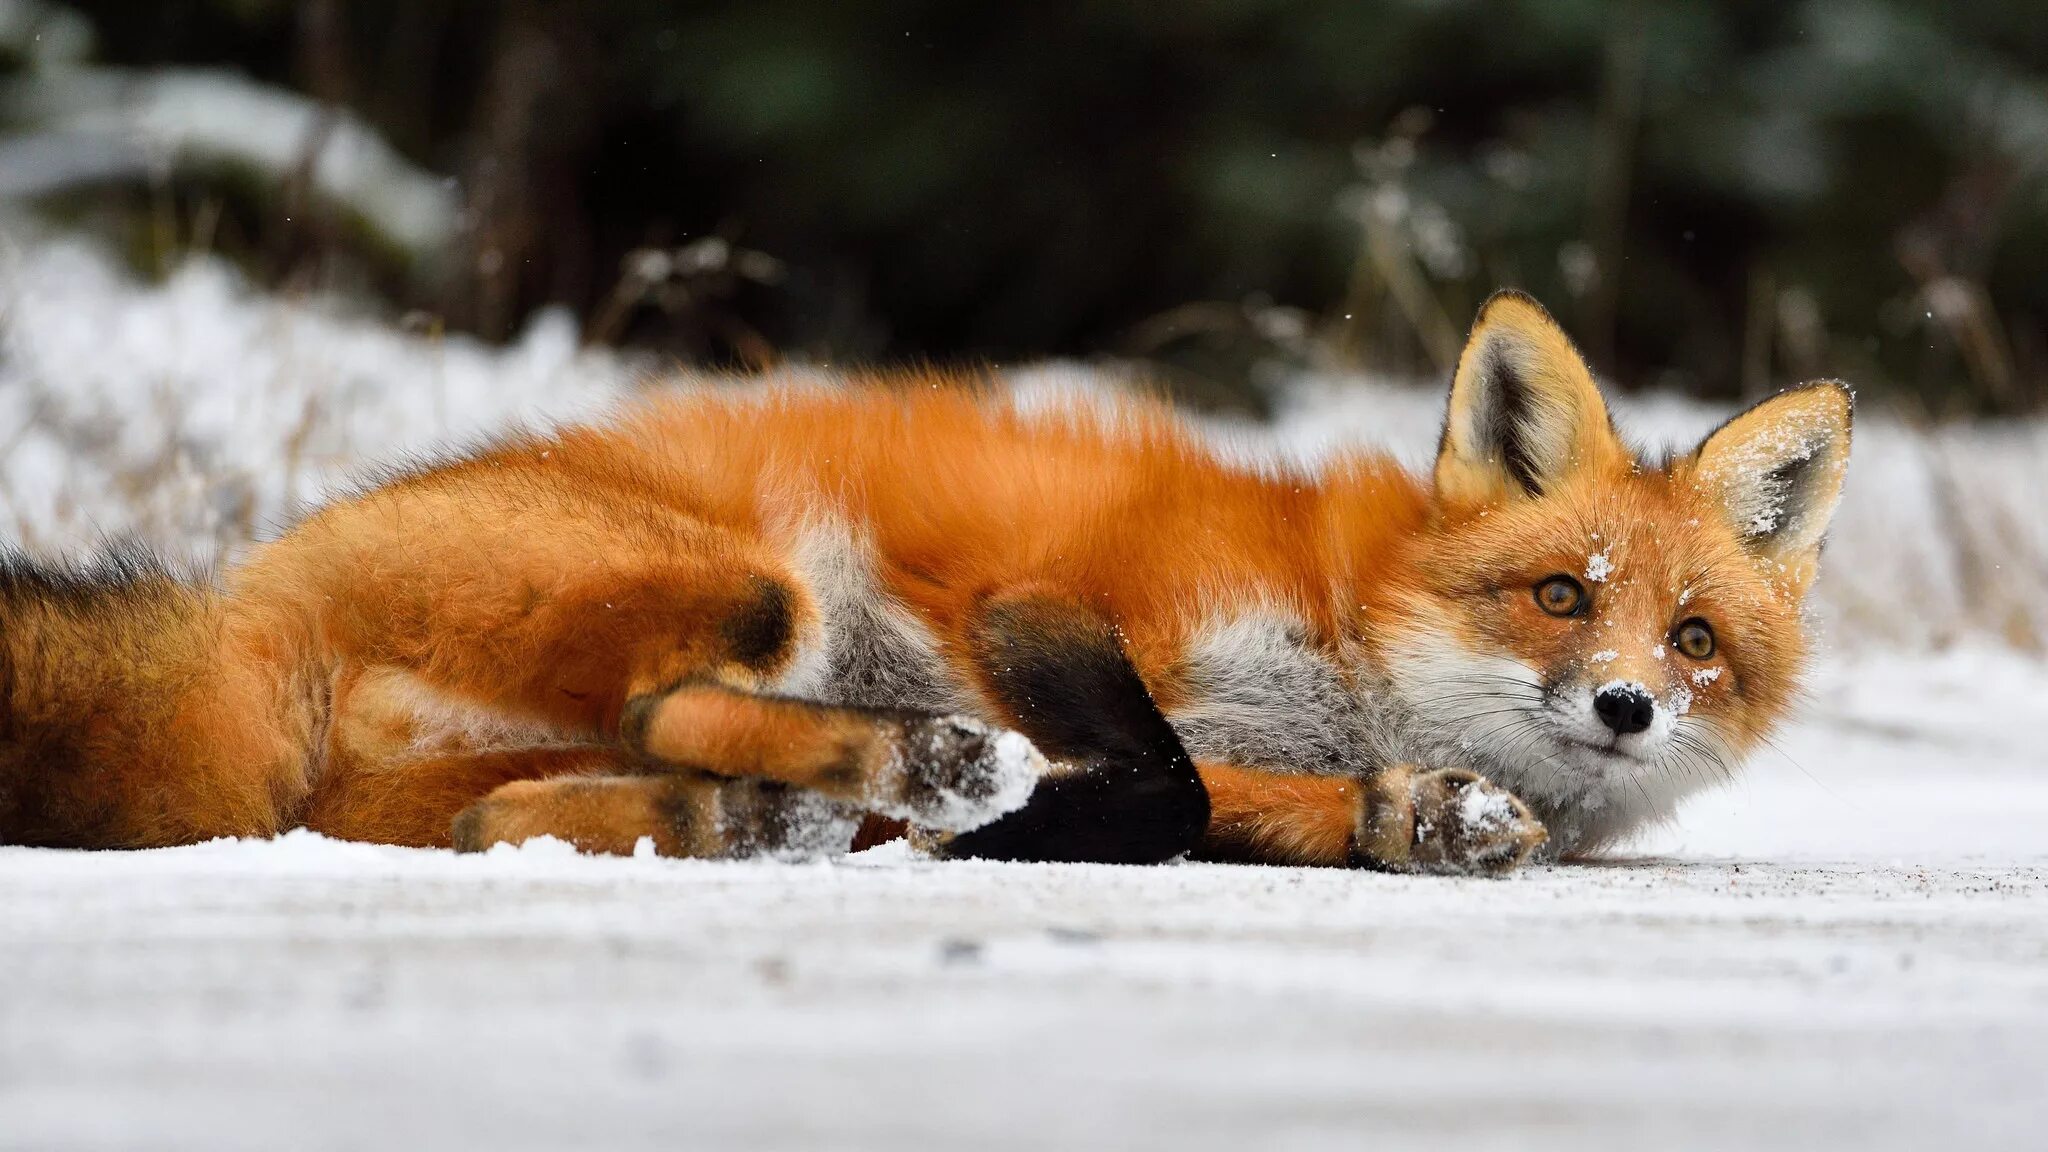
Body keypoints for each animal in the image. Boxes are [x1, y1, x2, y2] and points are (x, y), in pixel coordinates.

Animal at [0, 293, 1859, 869]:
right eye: (1560, 597)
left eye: (1692, 636)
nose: (1623, 705)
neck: (1349, 636)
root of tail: (250, 597)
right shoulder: (1045, 611)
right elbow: (1172, 782)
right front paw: (1026, 807)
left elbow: (1242, 797)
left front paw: (1423, 815)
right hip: (760, 589)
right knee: (675, 708)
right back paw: (898, 782)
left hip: (471, 761)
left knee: (497, 815)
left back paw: (756, 823)